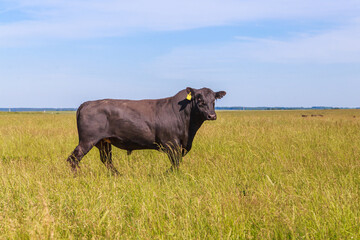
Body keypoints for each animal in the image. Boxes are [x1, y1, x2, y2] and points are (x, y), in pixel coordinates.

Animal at [65, 87, 225, 173]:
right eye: (199, 99)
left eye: (214, 100)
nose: (212, 115)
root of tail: (87, 103)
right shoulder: (171, 143)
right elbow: (176, 162)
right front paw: (169, 175)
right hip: (87, 140)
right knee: (73, 159)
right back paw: (77, 176)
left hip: (104, 142)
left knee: (107, 161)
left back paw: (118, 175)